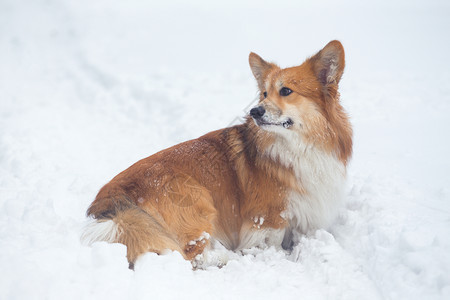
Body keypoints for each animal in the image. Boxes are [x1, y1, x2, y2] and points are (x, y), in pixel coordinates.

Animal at [82, 40, 354, 270]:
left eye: (286, 91)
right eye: (264, 94)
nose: (255, 111)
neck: (298, 145)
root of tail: (111, 201)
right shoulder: (266, 218)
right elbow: (270, 243)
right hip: (197, 198)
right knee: (191, 255)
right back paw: (227, 257)